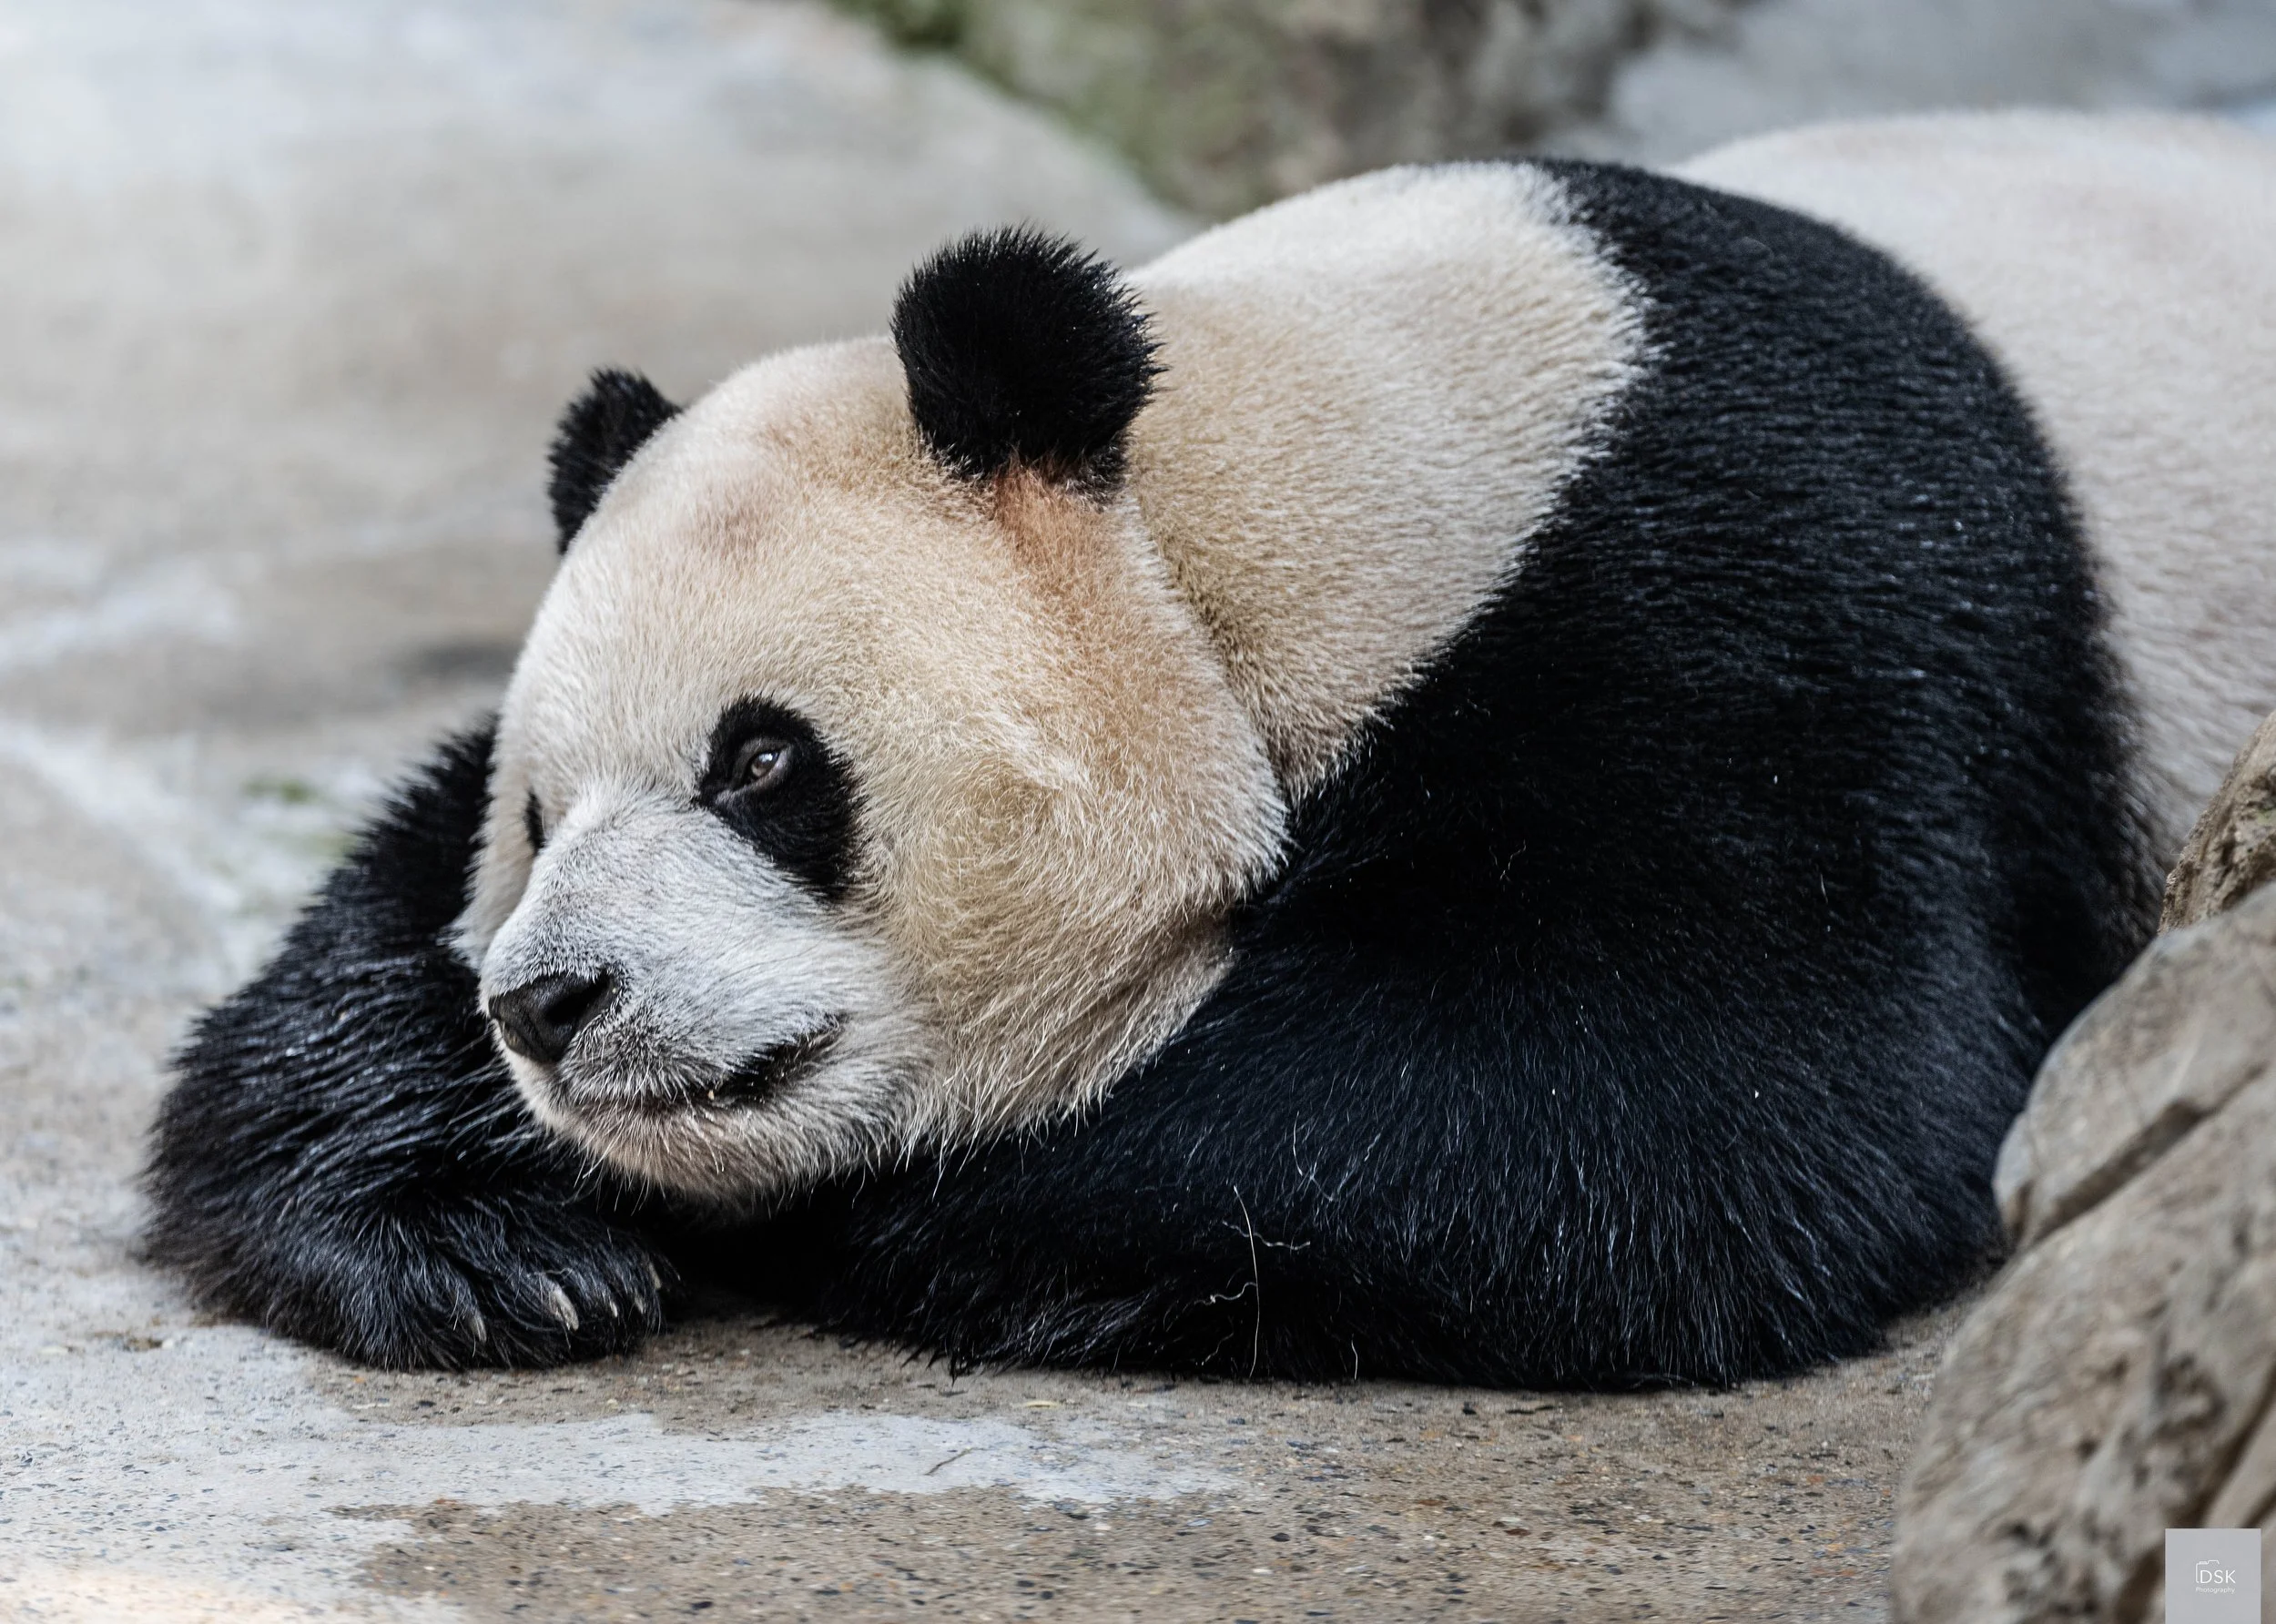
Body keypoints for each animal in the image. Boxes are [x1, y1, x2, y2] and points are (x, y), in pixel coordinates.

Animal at [147, 114, 2276, 1385]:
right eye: (538, 805)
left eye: (761, 766)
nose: (549, 1002)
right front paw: (486, 1241)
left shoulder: (1745, 608)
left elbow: (1706, 1087)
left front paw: (949, 1227)